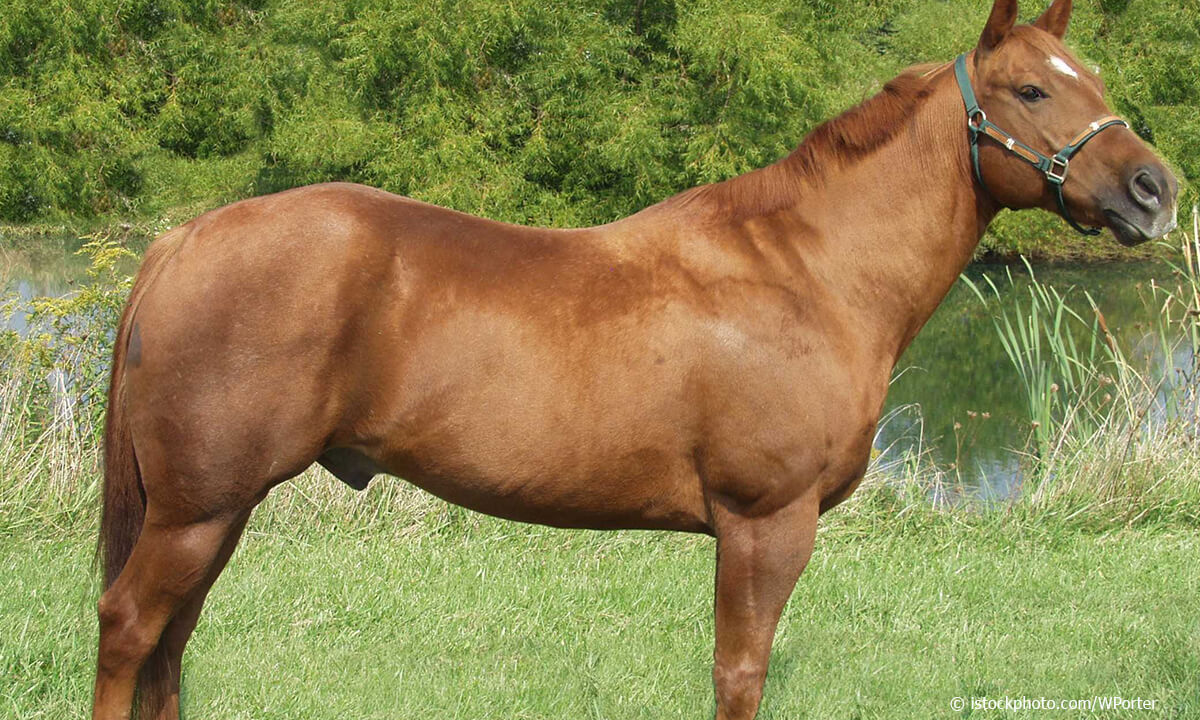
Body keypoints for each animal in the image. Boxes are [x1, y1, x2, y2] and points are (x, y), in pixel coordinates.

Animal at [91, 1, 1178, 717]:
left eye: (1098, 83)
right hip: (198, 510)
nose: (1154, 190)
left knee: (171, 647)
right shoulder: (764, 525)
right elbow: (739, 674)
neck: (808, 272)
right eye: (1030, 89)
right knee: (131, 629)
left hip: (216, 510)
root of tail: (187, 238)